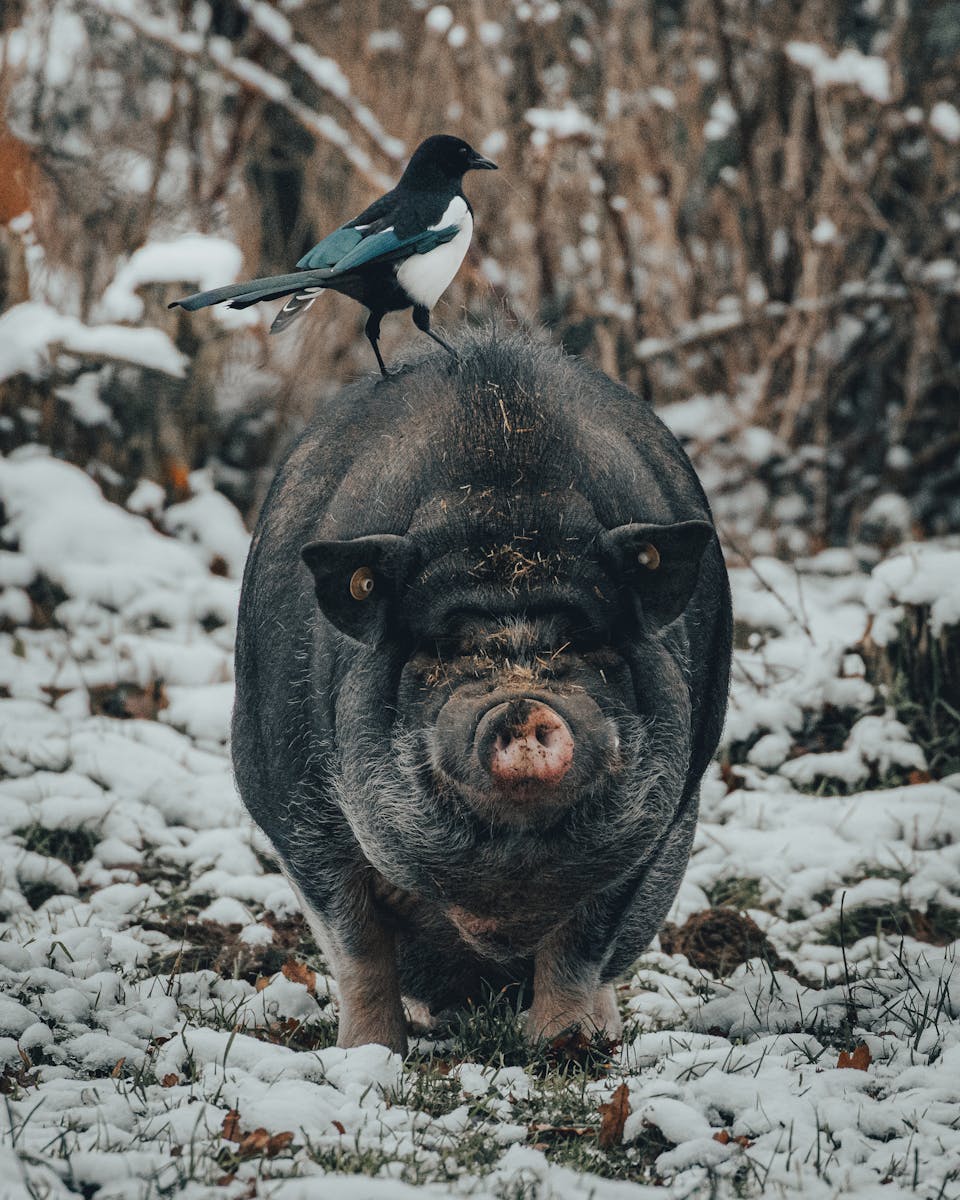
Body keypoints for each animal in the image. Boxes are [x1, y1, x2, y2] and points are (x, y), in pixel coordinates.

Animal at [232, 331, 729, 1051]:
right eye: (443, 649)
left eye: (586, 641)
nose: (522, 705)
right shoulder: (295, 807)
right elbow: (357, 944)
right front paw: (368, 1054)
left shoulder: (655, 830)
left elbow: (581, 946)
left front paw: (564, 1046)